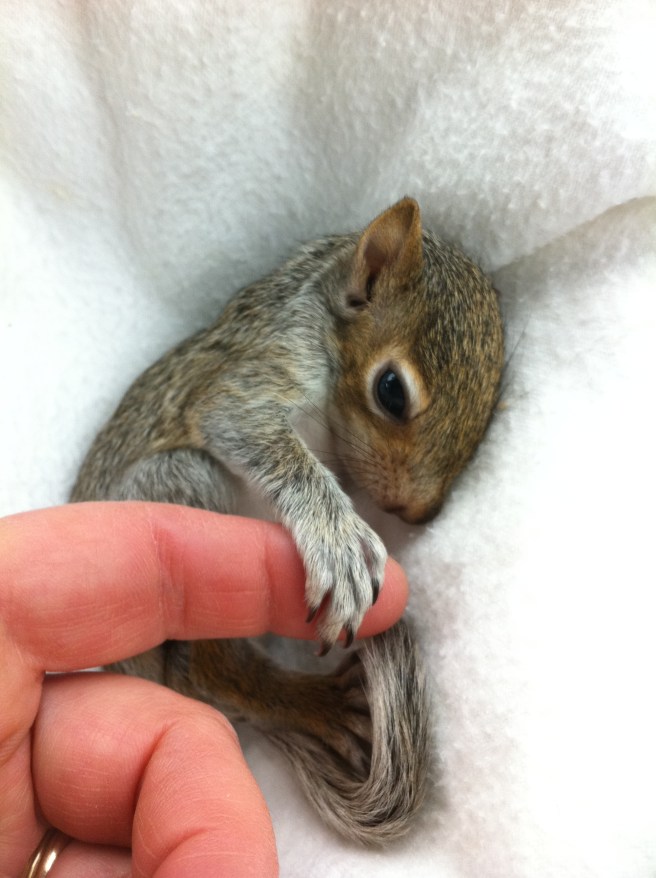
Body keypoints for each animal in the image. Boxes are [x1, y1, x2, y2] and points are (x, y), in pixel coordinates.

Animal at [71, 197, 504, 844]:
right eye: (391, 391)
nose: (419, 511)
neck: (321, 305)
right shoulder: (270, 363)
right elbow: (244, 425)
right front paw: (340, 542)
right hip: (180, 484)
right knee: (210, 667)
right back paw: (315, 705)